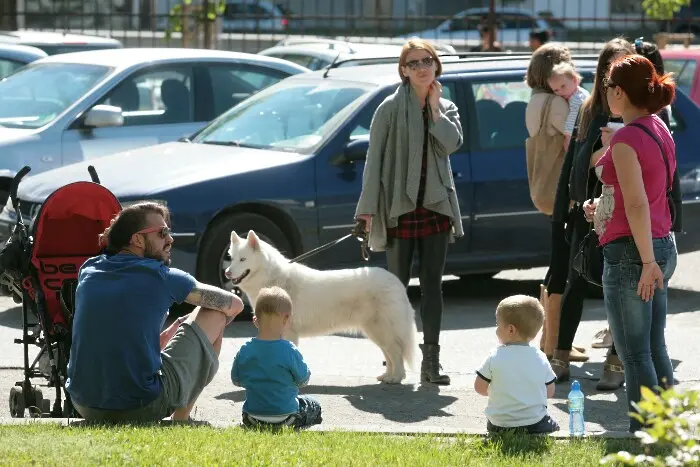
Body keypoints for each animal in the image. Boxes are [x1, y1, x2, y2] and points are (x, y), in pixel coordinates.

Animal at [224, 230, 416, 384]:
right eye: (231, 259)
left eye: (243, 259)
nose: (227, 272)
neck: (273, 279)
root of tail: (396, 281)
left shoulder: (289, 332)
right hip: (374, 331)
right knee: (390, 354)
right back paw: (387, 375)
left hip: (382, 329)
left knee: (396, 352)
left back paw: (396, 378)